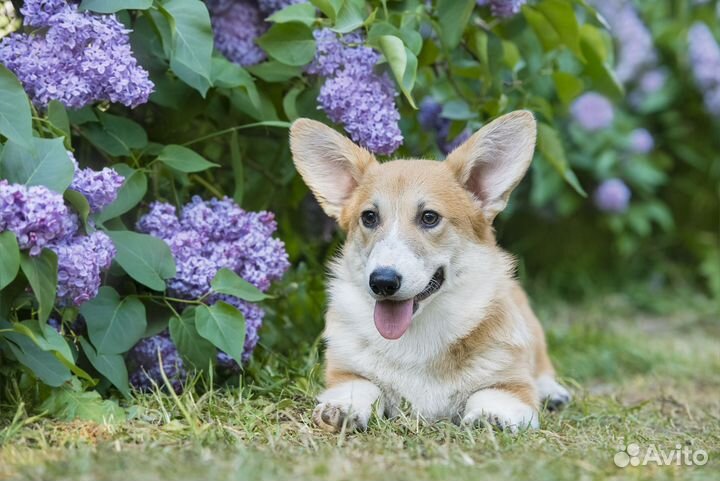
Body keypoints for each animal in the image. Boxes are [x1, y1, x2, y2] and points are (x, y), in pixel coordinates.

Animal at [290, 110, 572, 434]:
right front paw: (343, 408)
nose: (382, 282)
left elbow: (492, 395)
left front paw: (490, 416)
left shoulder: (512, 384)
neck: (416, 334)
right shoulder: (346, 372)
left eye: (429, 218)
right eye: (369, 217)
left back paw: (553, 393)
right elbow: (361, 386)